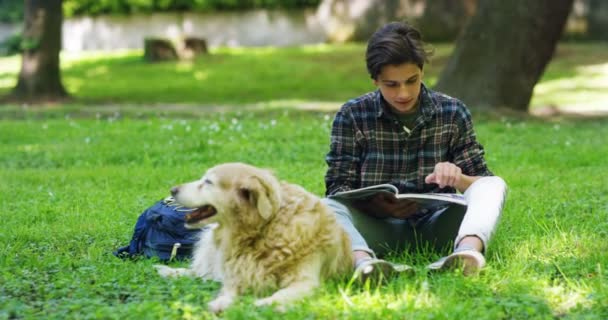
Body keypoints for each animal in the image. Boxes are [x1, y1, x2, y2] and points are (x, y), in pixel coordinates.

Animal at [154, 162, 352, 312]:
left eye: (208, 182)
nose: (172, 190)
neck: (264, 229)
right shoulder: (236, 274)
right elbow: (229, 291)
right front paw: (220, 303)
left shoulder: (307, 282)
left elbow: (281, 294)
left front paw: (264, 304)